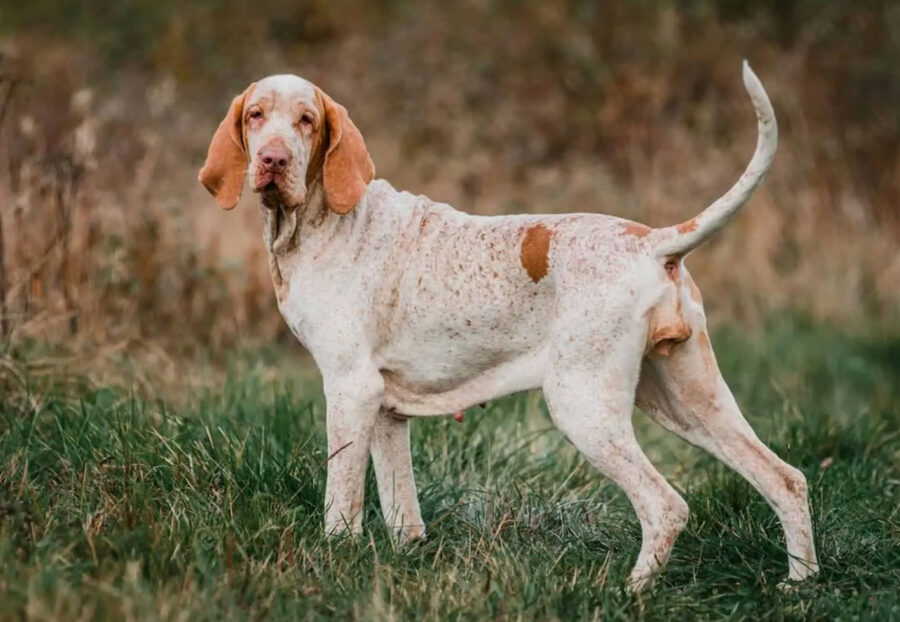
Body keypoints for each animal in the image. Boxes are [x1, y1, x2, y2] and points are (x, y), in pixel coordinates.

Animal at [200, 61, 820, 592]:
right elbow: (402, 512)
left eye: (306, 119)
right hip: (689, 402)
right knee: (785, 479)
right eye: (256, 115)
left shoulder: (349, 390)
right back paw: (800, 583)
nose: (273, 160)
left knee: (665, 504)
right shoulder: (385, 410)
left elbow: (341, 502)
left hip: (582, 404)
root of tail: (653, 243)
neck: (318, 222)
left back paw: (631, 592)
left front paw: (334, 562)